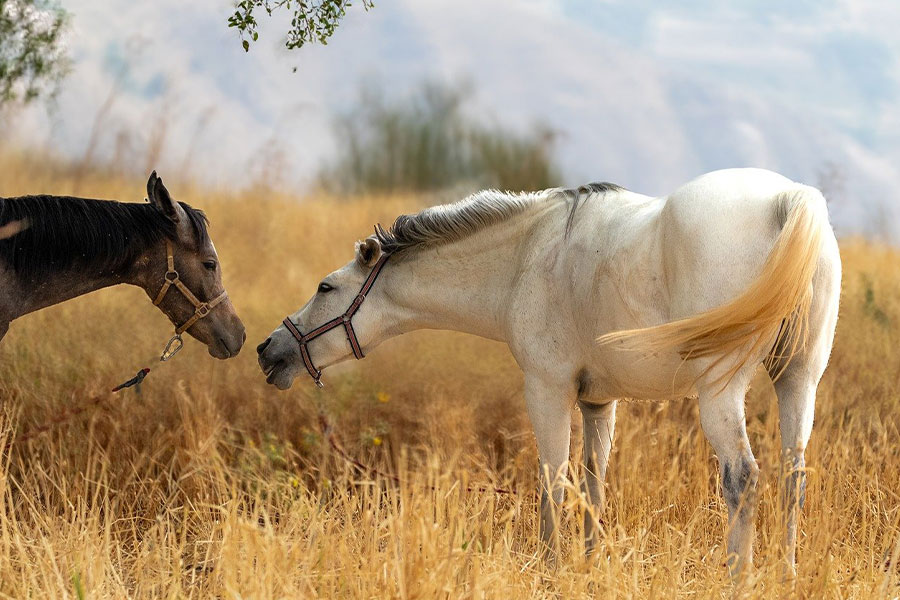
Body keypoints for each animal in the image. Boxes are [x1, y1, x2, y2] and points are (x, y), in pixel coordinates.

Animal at [256, 168, 840, 576]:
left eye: (326, 287)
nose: (268, 350)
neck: (529, 255)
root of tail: (789, 199)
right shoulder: (599, 401)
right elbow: (593, 482)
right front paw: (589, 563)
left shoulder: (547, 389)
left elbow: (553, 480)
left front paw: (550, 566)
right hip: (798, 382)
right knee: (793, 474)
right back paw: (786, 574)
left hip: (720, 390)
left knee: (743, 477)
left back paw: (737, 577)